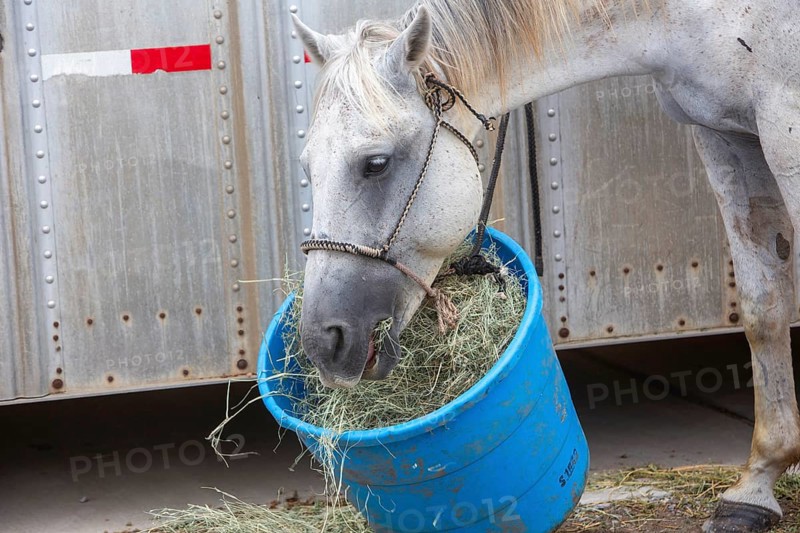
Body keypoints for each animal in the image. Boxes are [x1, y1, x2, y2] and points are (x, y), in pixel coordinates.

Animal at [291, 1, 800, 531]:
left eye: (376, 163)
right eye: (307, 167)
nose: (324, 342)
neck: (684, 17)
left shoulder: (785, 127)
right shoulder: (724, 136)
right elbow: (764, 309)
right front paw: (754, 489)